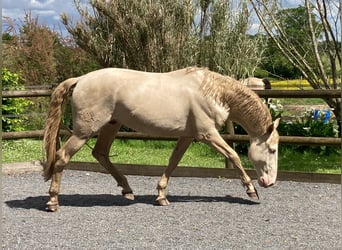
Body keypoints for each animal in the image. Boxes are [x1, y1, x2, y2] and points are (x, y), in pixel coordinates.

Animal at [42, 67, 280, 211]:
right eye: (273, 149)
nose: (269, 182)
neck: (212, 92)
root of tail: (81, 79)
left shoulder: (187, 136)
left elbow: (173, 162)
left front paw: (162, 195)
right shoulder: (208, 134)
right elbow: (234, 156)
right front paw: (251, 191)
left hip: (111, 125)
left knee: (100, 153)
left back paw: (127, 190)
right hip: (84, 132)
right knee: (62, 157)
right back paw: (53, 201)